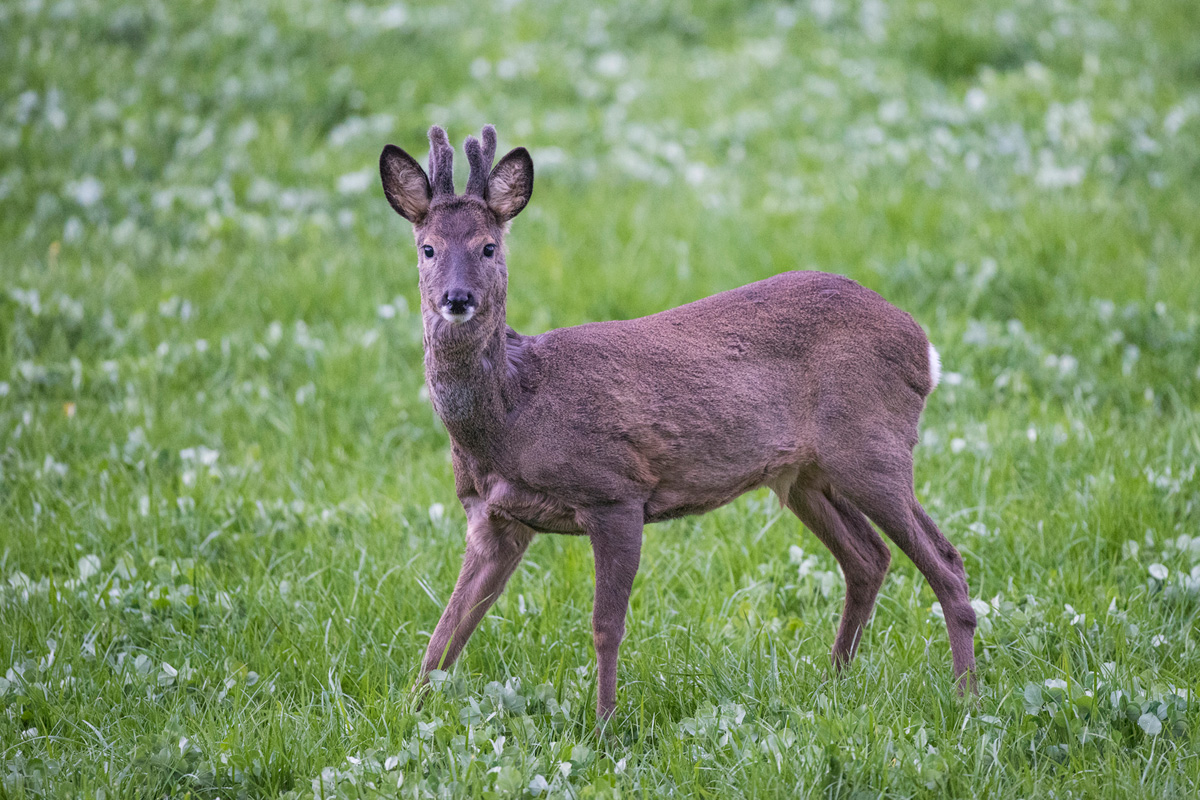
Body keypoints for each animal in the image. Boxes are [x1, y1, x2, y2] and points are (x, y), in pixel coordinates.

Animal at [379, 123, 979, 719]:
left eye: (489, 245)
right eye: (427, 248)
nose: (458, 298)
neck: (513, 416)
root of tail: (923, 348)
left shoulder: (614, 491)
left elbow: (605, 627)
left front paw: (604, 724)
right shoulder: (491, 517)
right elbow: (447, 631)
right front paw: (408, 713)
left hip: (870, 445)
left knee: (946, 560)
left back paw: (966, 697)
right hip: (804, 474)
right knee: (869, 558)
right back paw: (836, 683)